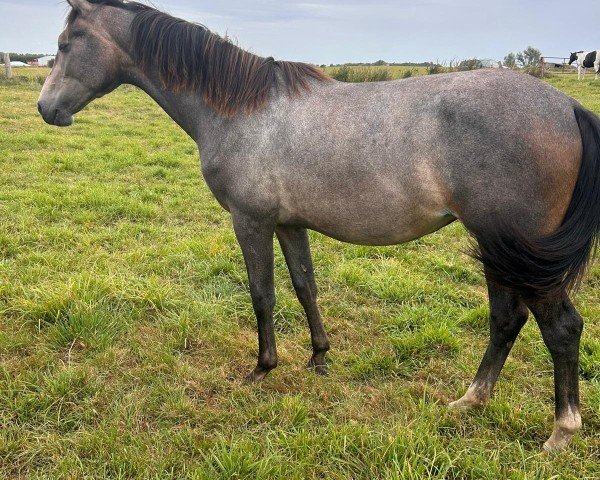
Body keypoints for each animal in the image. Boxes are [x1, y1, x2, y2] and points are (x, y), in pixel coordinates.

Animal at [38, 0, 600, 452]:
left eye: (65, 44)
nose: (46, 108)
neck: (241, 111)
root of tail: (567, 106)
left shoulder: (251, 222)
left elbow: (262, 293)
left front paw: (263, 368)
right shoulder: (290, 224)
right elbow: (305, 285)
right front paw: (319, 359)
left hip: (517, 250)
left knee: (560, 328)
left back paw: (560, 432)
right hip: (498, 249)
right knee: (506, 319)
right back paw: (470, 401)